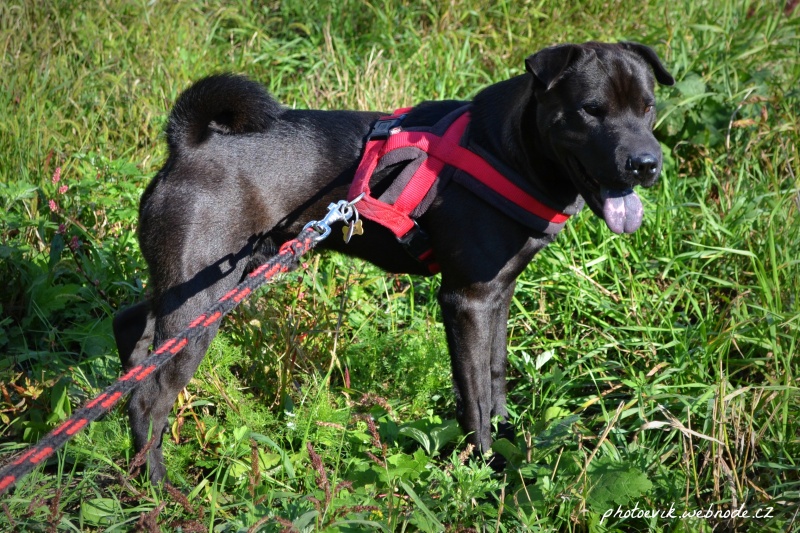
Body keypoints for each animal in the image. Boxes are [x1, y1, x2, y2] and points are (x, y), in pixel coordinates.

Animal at [113, 41, 674, 483]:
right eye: (591, 110)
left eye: (648, 107)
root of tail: (189, 144)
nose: (646, 164)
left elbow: (495, 377)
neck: (509, 146)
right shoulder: (467, 300)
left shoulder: (498, 293)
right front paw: (485, 468)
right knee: (150, 398)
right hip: (202, 300)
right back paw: (160, 488)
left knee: (131, 327)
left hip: (201, 281)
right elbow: (473, 395)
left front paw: (510, 444)